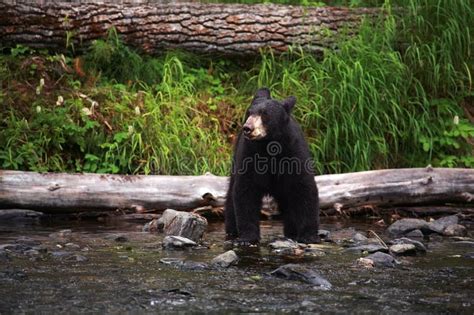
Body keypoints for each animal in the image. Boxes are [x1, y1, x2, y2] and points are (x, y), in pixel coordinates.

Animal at [225, 87, 320, 246]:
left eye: (264, 114)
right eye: (249, 113)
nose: (247, 128)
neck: (268, 145)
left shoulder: (293, 152)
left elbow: (304, 188)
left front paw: (308, 236)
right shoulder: (249, 154)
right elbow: (245, 190)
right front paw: (247, 237)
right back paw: (232, 230)